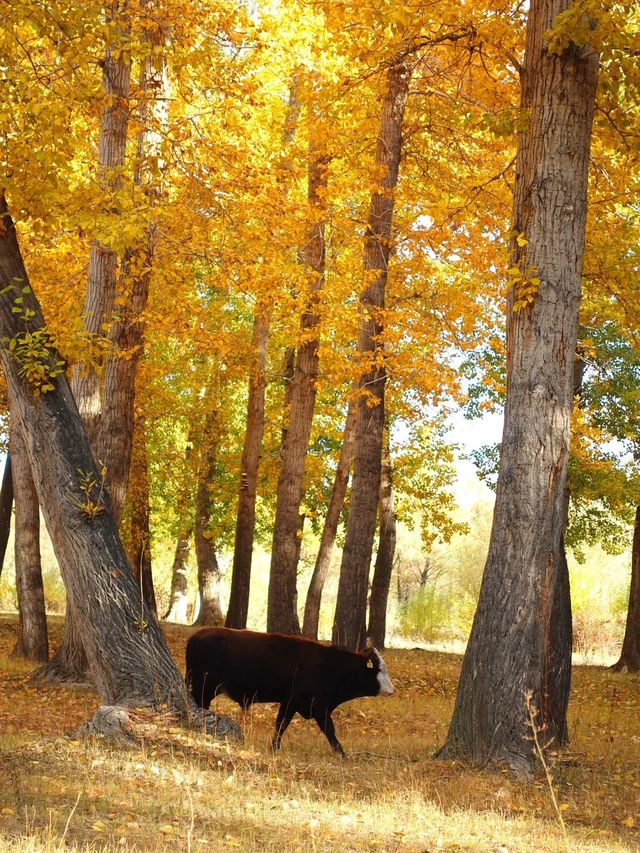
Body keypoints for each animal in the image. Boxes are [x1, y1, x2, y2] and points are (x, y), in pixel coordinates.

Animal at [185, 624, 396, 752]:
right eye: (381, 669)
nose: (393, 689)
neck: (332, 667)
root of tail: (197, 635)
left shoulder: (291, 703)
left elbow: (281, 725)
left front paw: (274, 747)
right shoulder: (316, 706)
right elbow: (329, 730)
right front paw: (342, 753)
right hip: (203, 688)